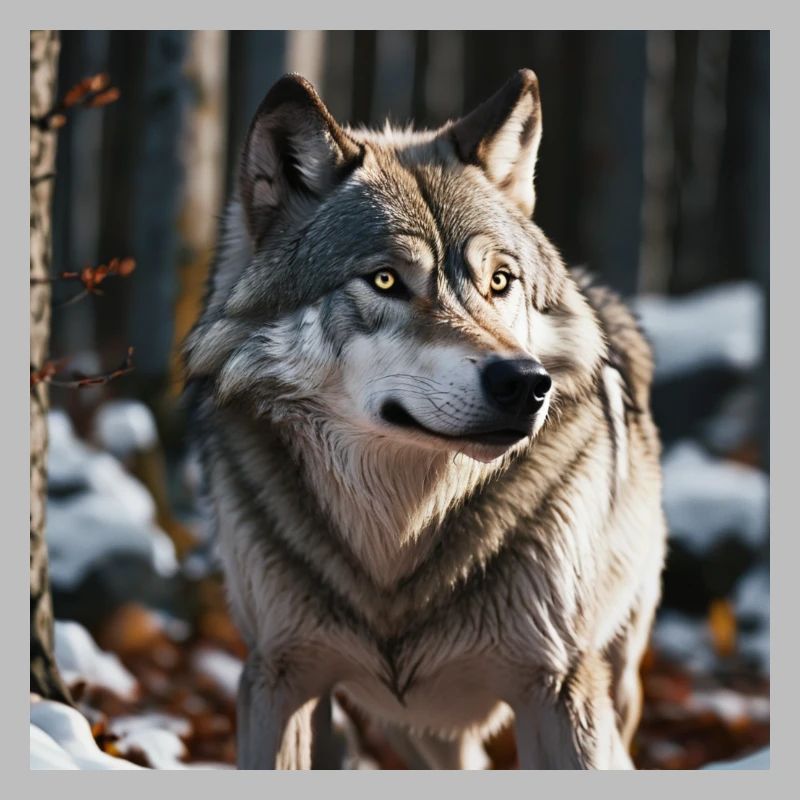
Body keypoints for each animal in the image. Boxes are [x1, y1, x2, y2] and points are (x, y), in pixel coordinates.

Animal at [184, 69, 667, 770]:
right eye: (385, 280)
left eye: (500, 281)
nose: (526, 383)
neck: (400, 539)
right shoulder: (280, 676)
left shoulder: (559, 687)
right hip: (417, 732)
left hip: (615, 681)